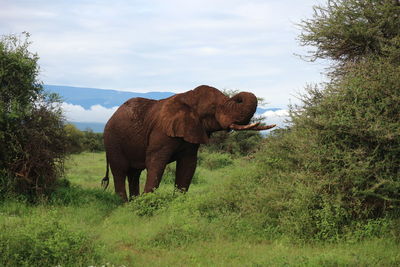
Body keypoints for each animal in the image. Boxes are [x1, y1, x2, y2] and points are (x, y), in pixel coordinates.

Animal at [101, 85, 276, 202]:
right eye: (213, 108)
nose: (238, 96)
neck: (187, 97)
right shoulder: (161, 131)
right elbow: (156, 163)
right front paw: (148, 201)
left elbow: (188, 165)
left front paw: (178, 202)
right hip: (112, 140)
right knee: (120, 170)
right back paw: (124, 204)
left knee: (134, 173)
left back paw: (133, 202)